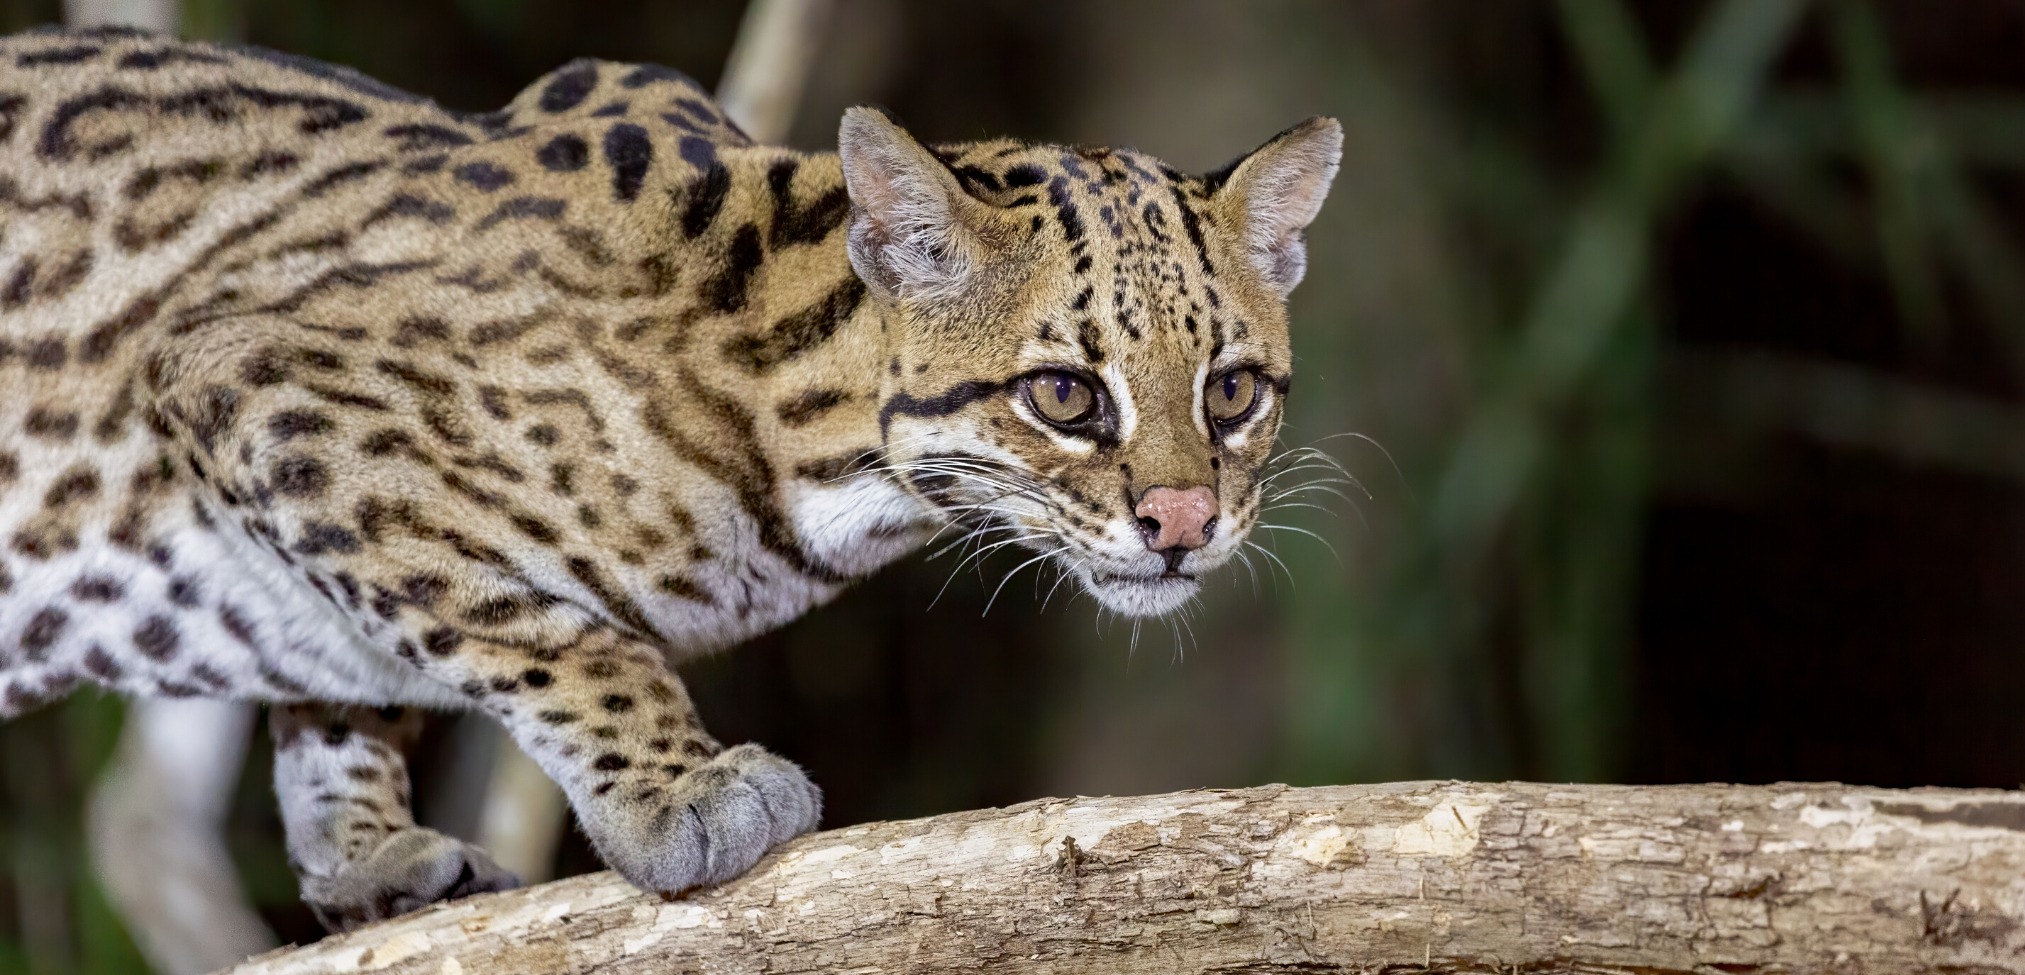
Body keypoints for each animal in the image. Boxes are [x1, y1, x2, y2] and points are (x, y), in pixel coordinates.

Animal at [0, 25, 1342, 932]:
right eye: (1064, 394)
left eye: (1232, 392)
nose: (1186, 521)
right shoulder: (248, 375)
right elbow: (539, 626)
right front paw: (676, 785)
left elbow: (353, 694)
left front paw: (362, 850)